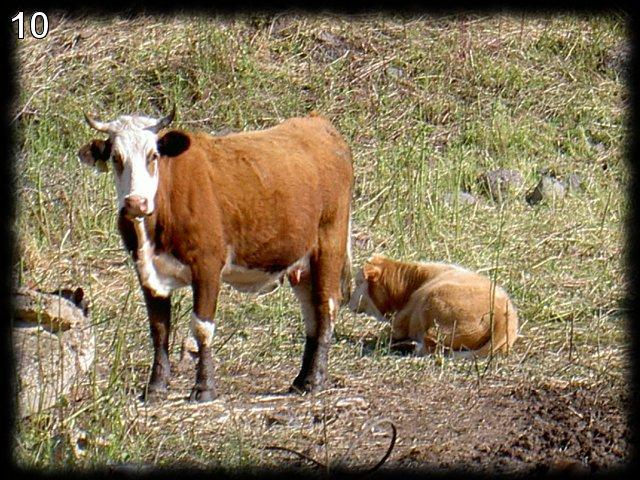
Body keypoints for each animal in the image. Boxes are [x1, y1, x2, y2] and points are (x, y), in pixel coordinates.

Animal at [79, 109, 356, 402]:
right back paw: (301, 380)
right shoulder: (147, 272)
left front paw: (204, 387)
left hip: (329, 244)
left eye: (152, 156)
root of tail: (318, 123)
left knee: (326, 306)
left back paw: (315, 380)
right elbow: (159, 329)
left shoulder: (207, 266)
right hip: (300, 264)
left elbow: (201, 328)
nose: (135, 202)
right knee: (311, 314)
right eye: (116, 157)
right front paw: (155, 386)